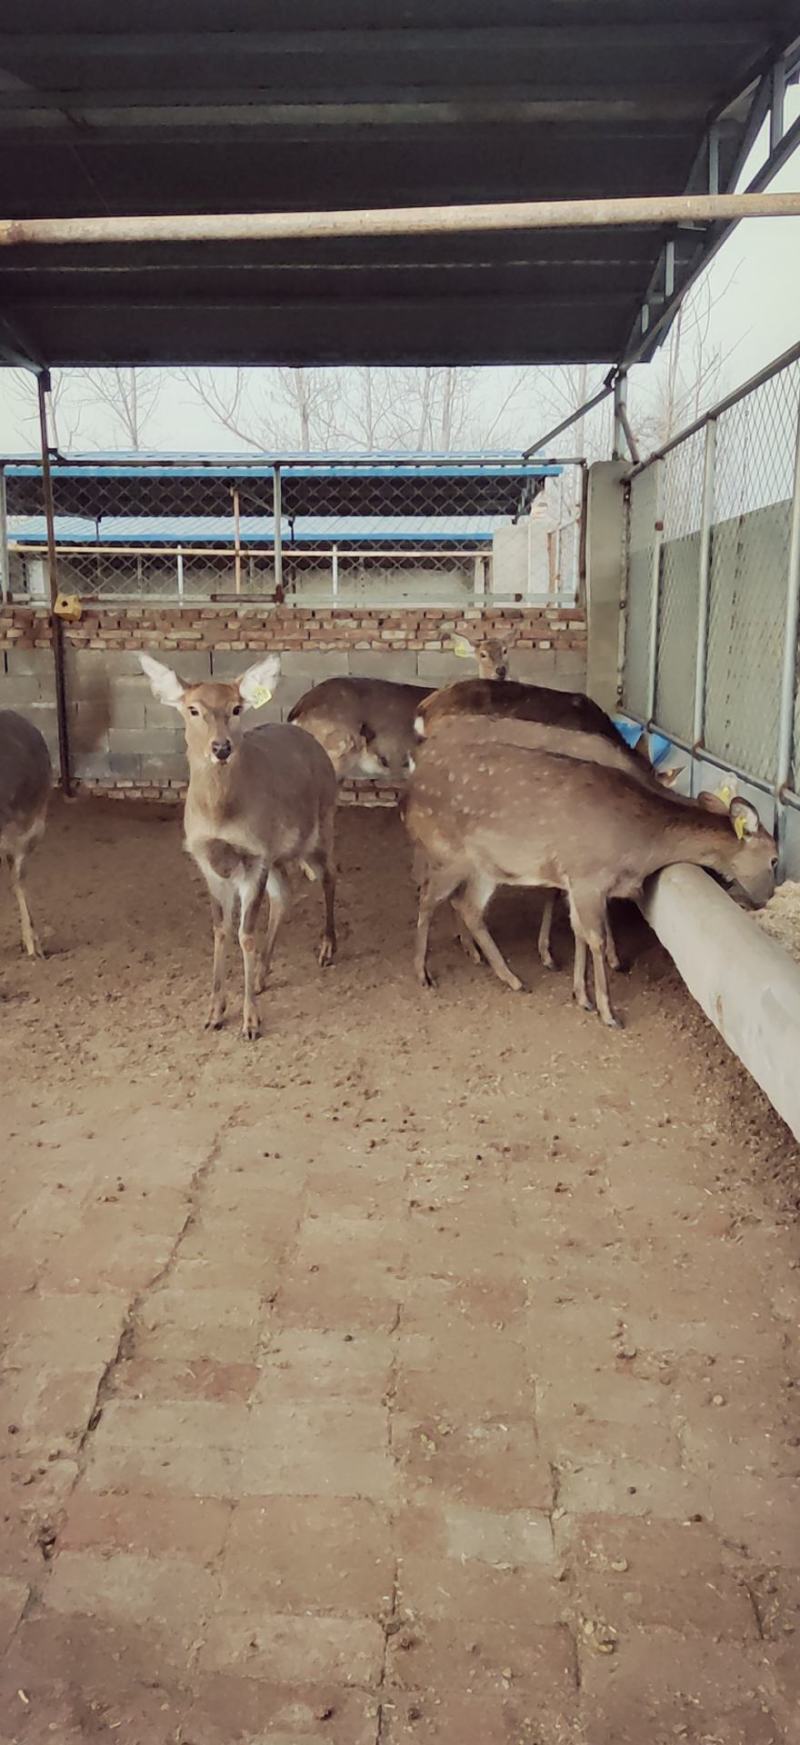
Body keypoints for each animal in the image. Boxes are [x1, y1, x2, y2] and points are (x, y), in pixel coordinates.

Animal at [140, 653, 338, 1041]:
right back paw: (262, 973)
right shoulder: (208, 861)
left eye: (235, 708)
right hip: (280, 851)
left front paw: (250, 1022)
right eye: (193, 709)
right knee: (285, 892)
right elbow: (221, 931)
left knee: (330, 875)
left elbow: (246, 934)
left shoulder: (255, 855)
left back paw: (326, 948)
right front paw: (214, 1013)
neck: (221, 816)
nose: (221, 748)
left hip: (321, 824)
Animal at [404, 717, 777, 1028]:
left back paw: (511, 977)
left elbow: (578, 931)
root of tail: (412, 782)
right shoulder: (588, 876)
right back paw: (424, 973)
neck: (643, 844)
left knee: (468, 906)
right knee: (429, 897)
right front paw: (607, 1010)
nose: (766, 898)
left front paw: (580, 995)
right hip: (448, 851)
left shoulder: (576, 881)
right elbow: (593, 936)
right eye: (774, 858)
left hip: (486, 866)